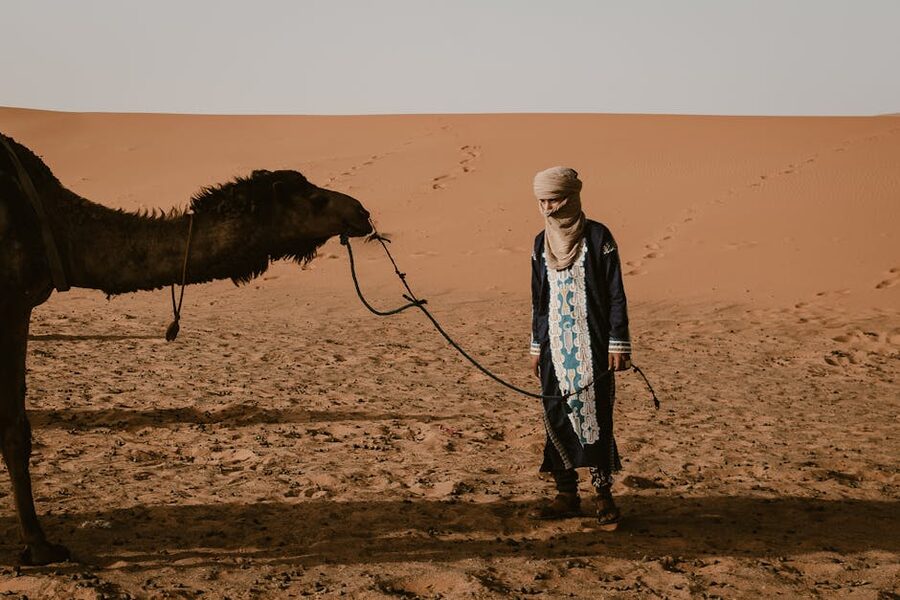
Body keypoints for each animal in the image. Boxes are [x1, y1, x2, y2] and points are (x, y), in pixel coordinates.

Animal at [0, 132, 373, 565]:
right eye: (314, 198)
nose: (362, 211)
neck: (58, 228)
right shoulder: (11, 301)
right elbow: (15, 428)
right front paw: (39, 546)